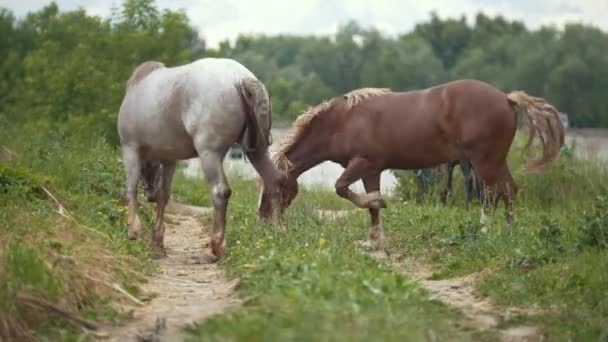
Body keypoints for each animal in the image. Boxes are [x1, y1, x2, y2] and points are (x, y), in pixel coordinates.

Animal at [117, 58, 284, 260]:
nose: (149, 195)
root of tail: (241, 77)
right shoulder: (170, 160)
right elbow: (164, 195)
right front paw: (157, 239)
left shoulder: (130, 148)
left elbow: (131, 188)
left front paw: (133, 230)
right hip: (258, 151)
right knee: (274, 181)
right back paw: (279, 232)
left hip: (209, 154)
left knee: (220, 191)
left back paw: (216, 246)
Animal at [258, 79, 564, 251]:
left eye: (273, 187)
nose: (263, 219)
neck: (342, 122)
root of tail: (506, 98)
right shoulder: (371, 170)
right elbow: (371, 205)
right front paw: (374, 241)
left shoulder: (363, 163)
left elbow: (342, 188)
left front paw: (376, 213)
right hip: (495, 160)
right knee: (509, 190)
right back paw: (509, 232)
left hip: (484, 161)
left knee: (492, 194)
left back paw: (485, 233)